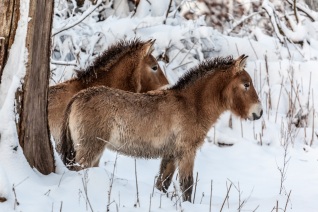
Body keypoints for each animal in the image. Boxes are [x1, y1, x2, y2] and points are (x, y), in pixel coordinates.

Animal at [59, 55, 264, 202]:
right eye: (246, 84)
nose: (259, 112)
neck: (191, 105)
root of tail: (77, 97)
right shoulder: (186, 153)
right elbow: (187, 186)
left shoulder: (171, 154)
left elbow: (162, 184)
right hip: (89, 150)